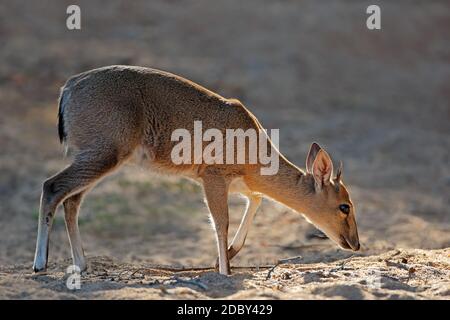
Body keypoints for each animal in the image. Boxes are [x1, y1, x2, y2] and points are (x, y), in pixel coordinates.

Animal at [32, 65, 358, 276]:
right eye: (344, 205)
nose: (355, 243)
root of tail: (68, 88)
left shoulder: (239, 185)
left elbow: (256, 201)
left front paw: (227, 257)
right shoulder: (212, 177)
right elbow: (221, 222)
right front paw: (224, 271)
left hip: (98, 159)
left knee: (71, 200)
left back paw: (80, 265)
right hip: (102, 155)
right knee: (52, 187)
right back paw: (40, 264)